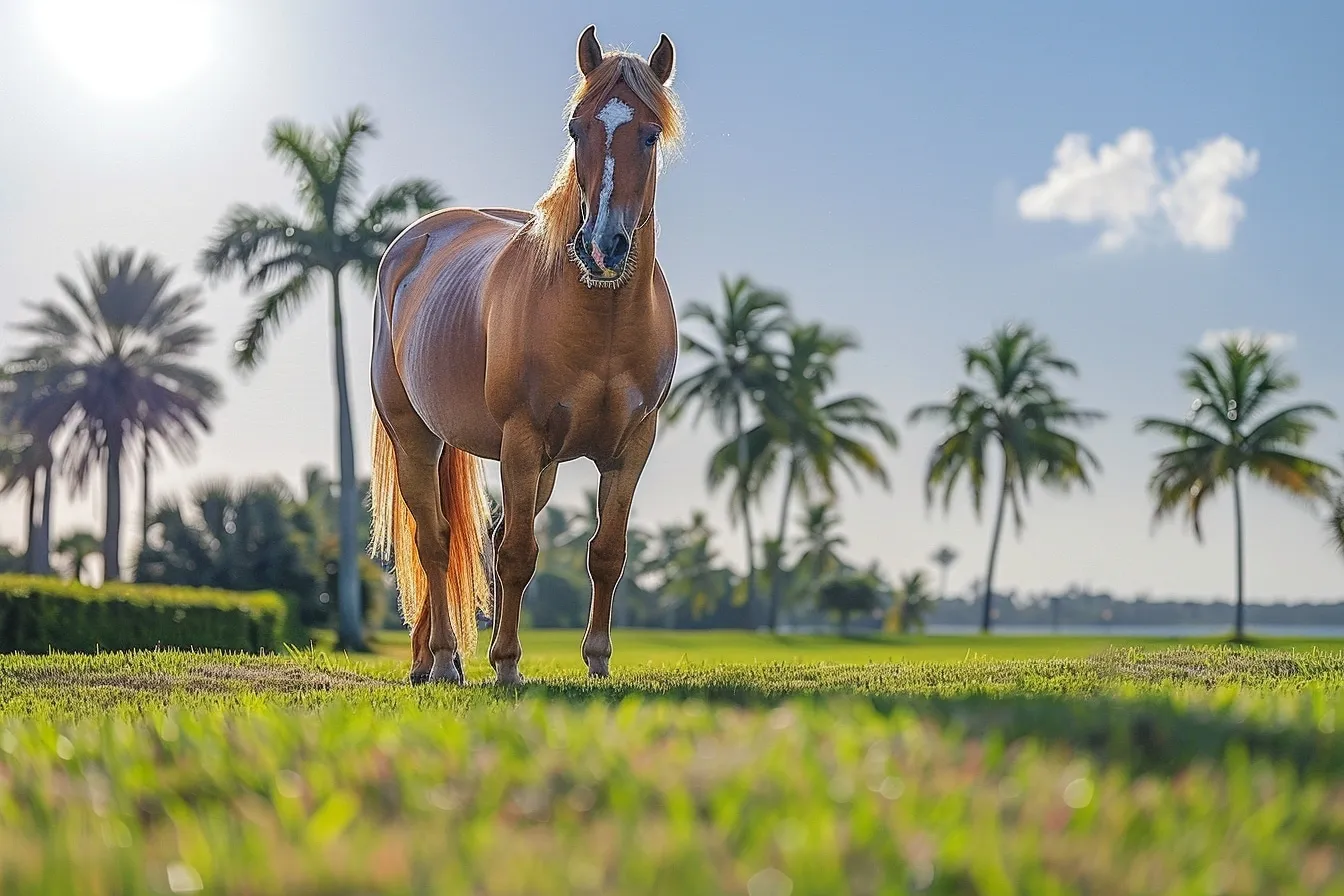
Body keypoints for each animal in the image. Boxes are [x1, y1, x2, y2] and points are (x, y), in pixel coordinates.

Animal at [369, 25, 684, 686]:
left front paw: (597, 659)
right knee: (434, 541)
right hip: (417, 438)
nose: (602, 247)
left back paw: (430, 658)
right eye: (576, 127)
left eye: (649, 133)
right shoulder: (521, 438)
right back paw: (443, 660)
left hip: (539, 467)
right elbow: (516, 554)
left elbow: (606, 553)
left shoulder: (630, 446)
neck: (601, 321)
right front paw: (508, 664)